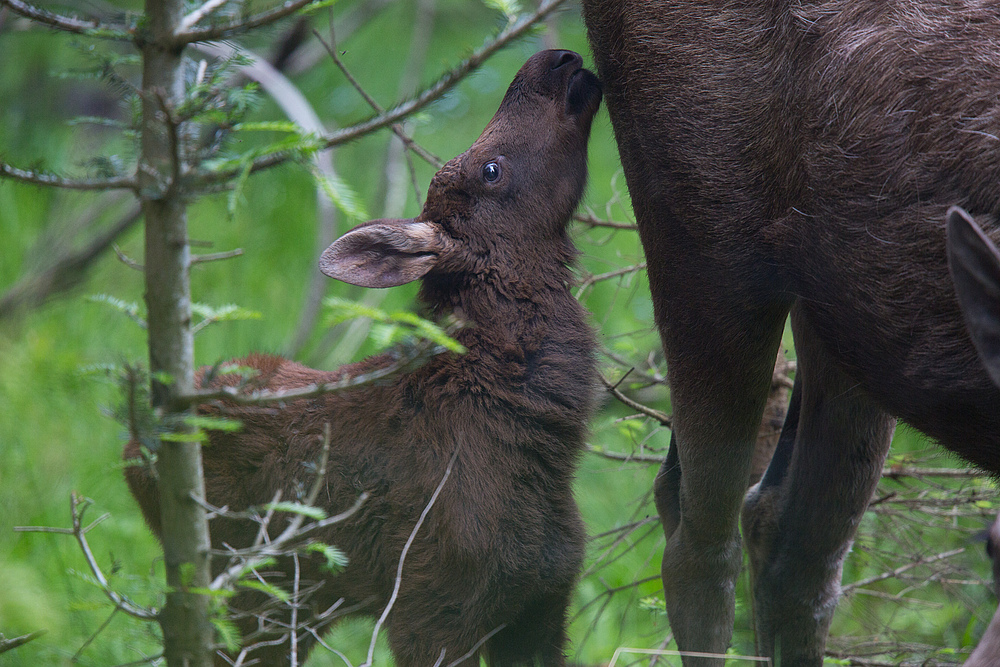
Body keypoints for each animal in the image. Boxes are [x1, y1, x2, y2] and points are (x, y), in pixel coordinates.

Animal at [121, 48, 596, 667]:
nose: (557, 59)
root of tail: (132, 451)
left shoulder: (541, 602)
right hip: (254, 594)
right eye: (490, 169)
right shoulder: (430, 609)